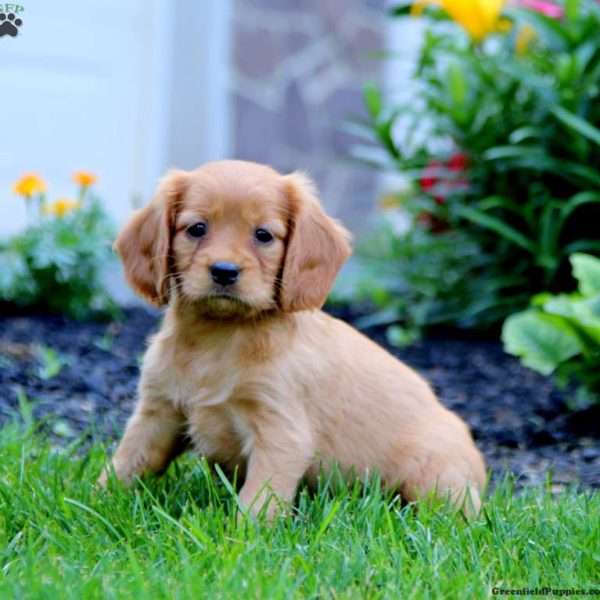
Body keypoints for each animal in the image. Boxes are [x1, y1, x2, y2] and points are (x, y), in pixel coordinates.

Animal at [101, 159, 486, 516]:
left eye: (263, 235)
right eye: (196, 229)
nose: (224, 272)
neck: (219, 337)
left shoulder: (280, 433)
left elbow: (257, 502)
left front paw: (241, 537)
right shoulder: (158, 412)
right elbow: (127, 461)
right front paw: (95, 502)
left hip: (433, 477)